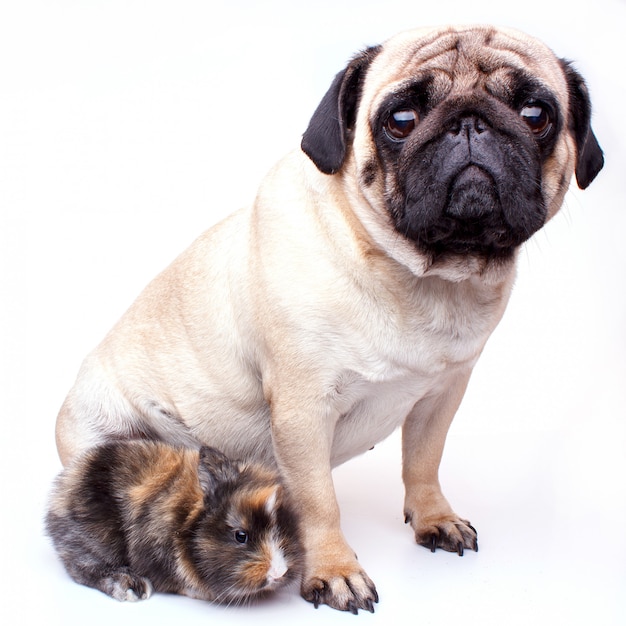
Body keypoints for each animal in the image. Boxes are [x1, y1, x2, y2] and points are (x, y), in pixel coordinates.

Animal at [56, 24, 604, 608]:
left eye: (535, 114)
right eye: (401, 119)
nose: (470, 122)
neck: (420, 278)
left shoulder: (442, 395)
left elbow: (424, 462)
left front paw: (434, 518)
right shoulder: (303, 411)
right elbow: (319, 503)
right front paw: (334, 570)